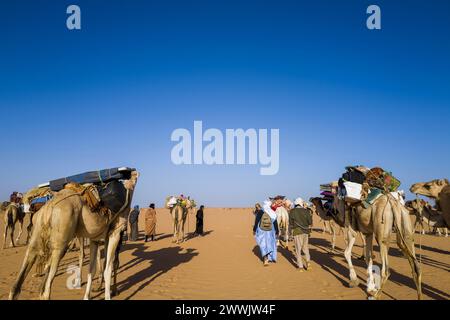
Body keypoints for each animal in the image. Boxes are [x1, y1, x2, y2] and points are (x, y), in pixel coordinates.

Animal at [8, 170, 139, 300]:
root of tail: (51, 206)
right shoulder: (115, 233)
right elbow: (109, 268)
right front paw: (108, 294)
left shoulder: (96, 238)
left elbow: (92, 269)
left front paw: (88, 296)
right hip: (62, 236)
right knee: (46, 287)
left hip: (39, 228)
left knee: (26, 264)